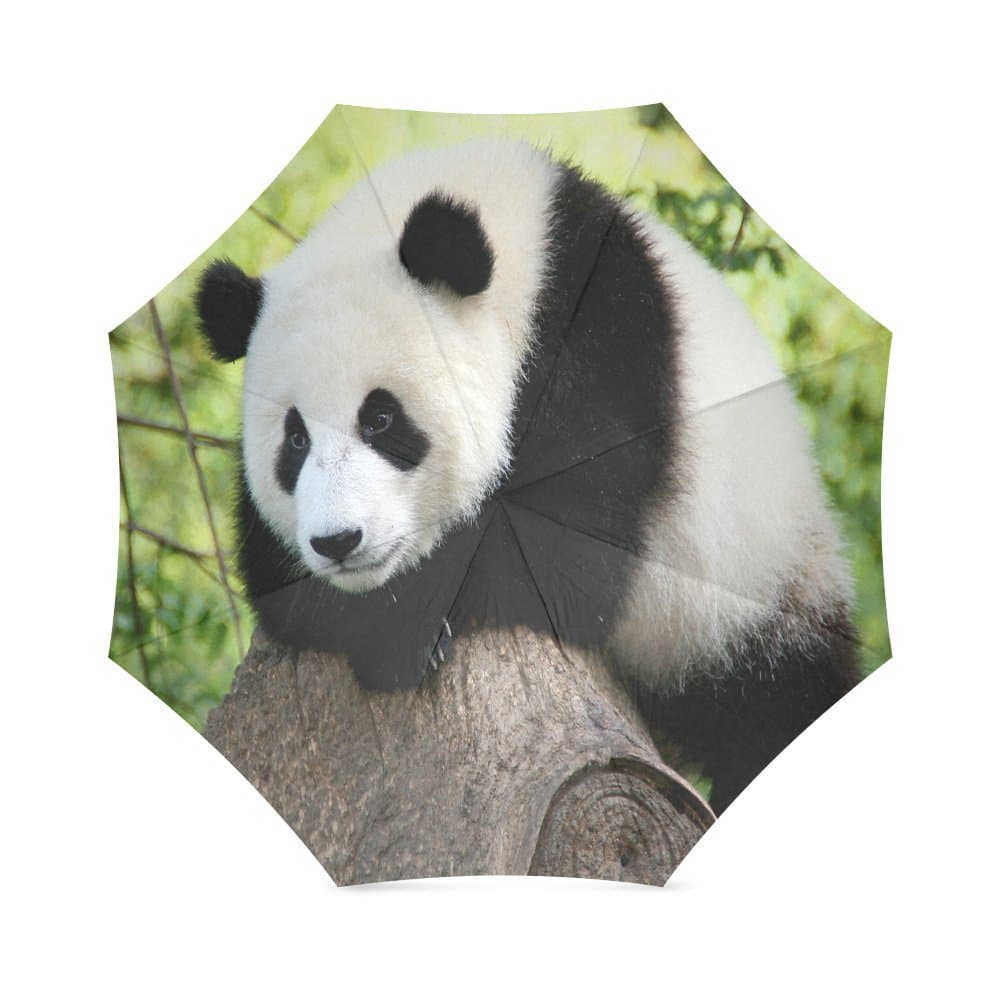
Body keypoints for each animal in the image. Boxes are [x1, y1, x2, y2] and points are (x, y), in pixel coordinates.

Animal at [196, 137, 859, 813]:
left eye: (380, 418)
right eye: (295, 439)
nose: (338, 542)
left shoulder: (606, 354)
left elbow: (571, 558)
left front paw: (408, 622)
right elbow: (273, 575)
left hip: (756, 585)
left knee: (773, 705)